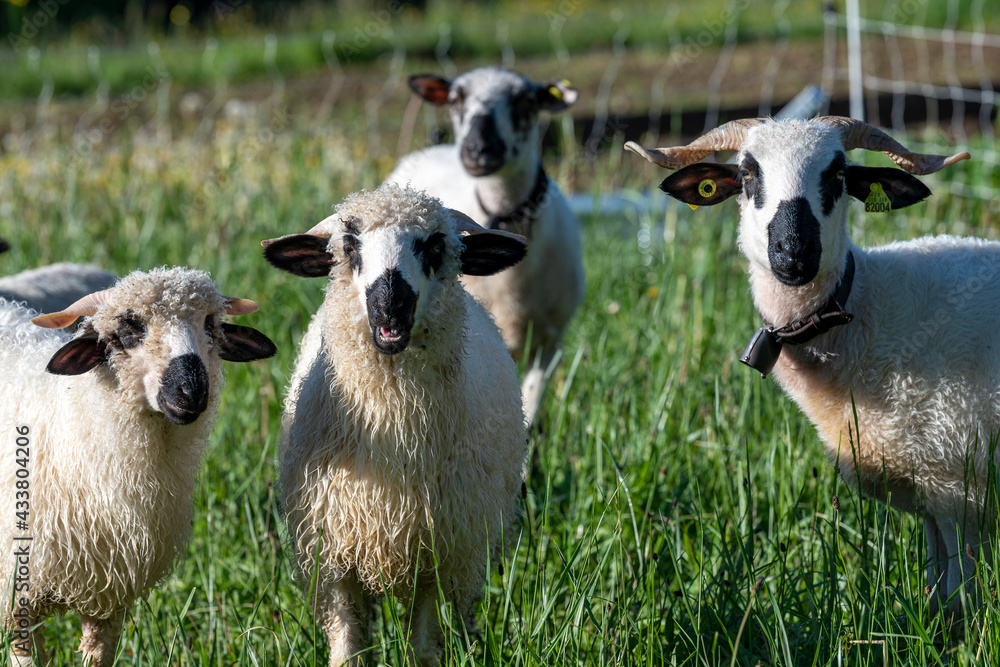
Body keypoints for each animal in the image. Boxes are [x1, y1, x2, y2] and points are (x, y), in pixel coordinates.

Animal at [264, 184, 532, 667]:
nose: (391, 306)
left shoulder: (437, 551)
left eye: (436, 245)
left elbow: (423, 647)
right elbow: (348, 648)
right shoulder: (333, 553)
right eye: (349, 246)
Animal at [624, 118, 984, 616]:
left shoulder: (956, 483)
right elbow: (938, 587)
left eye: (838, 174)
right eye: (748, 174)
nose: (793, 251)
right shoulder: (931, 489)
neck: (867, 307)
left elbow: (960, 597)